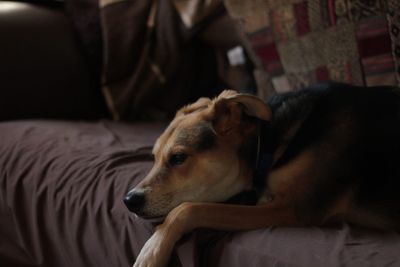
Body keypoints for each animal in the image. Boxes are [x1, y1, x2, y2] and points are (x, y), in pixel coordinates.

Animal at [123, 84, 400, 267]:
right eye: (154, 157)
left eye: (178, 158)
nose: (128, 200)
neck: (267, 144)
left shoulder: (292, 208)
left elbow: (190, 209)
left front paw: (151, 252)